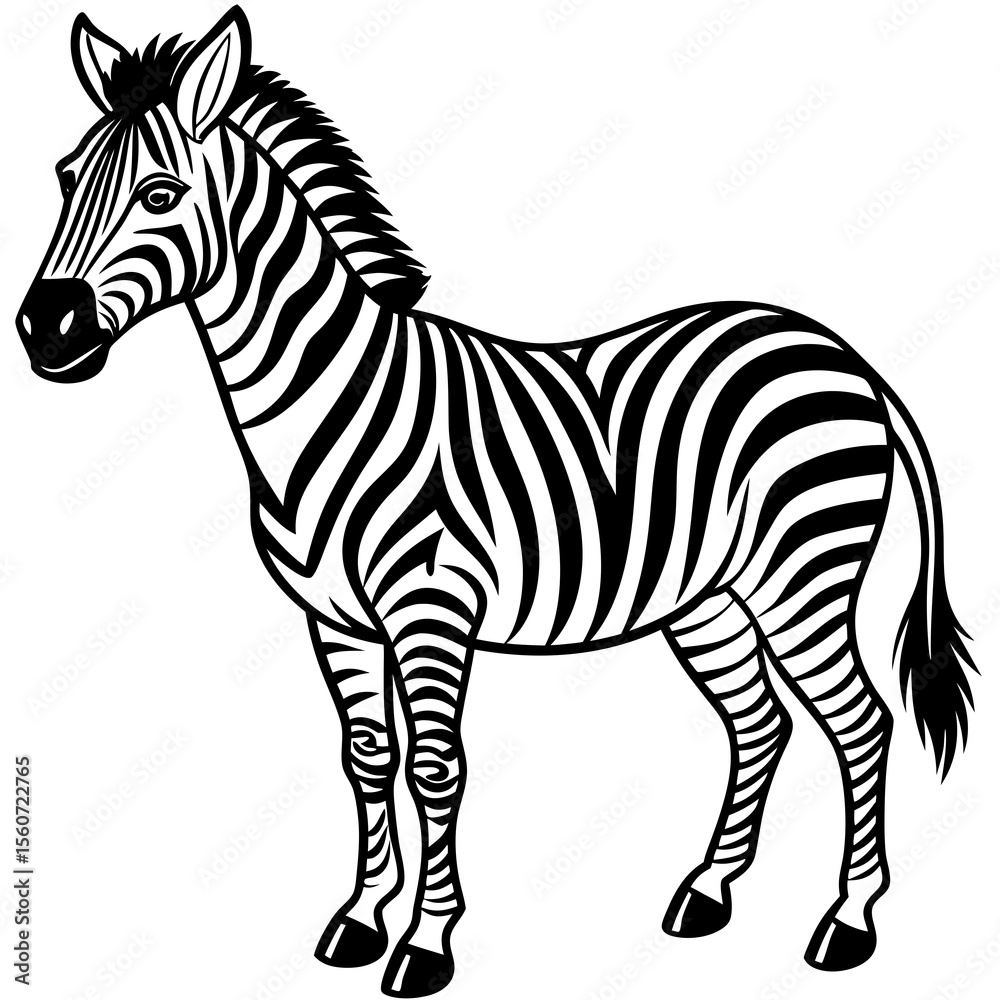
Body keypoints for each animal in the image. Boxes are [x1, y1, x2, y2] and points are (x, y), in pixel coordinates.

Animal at [17, 8, 977, 998]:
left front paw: (425, 943)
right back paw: (707, 894)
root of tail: (836, 349)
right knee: (760, 723)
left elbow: (438, 769)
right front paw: (361, 919)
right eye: (64, 176)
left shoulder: (431, 608)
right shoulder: (338, 621)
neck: (331, 399)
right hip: (709, 597)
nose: (44, 330)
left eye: (161, 193)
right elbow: (370, 761)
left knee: (859, 723)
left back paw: (848, 924)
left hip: (803, 575)